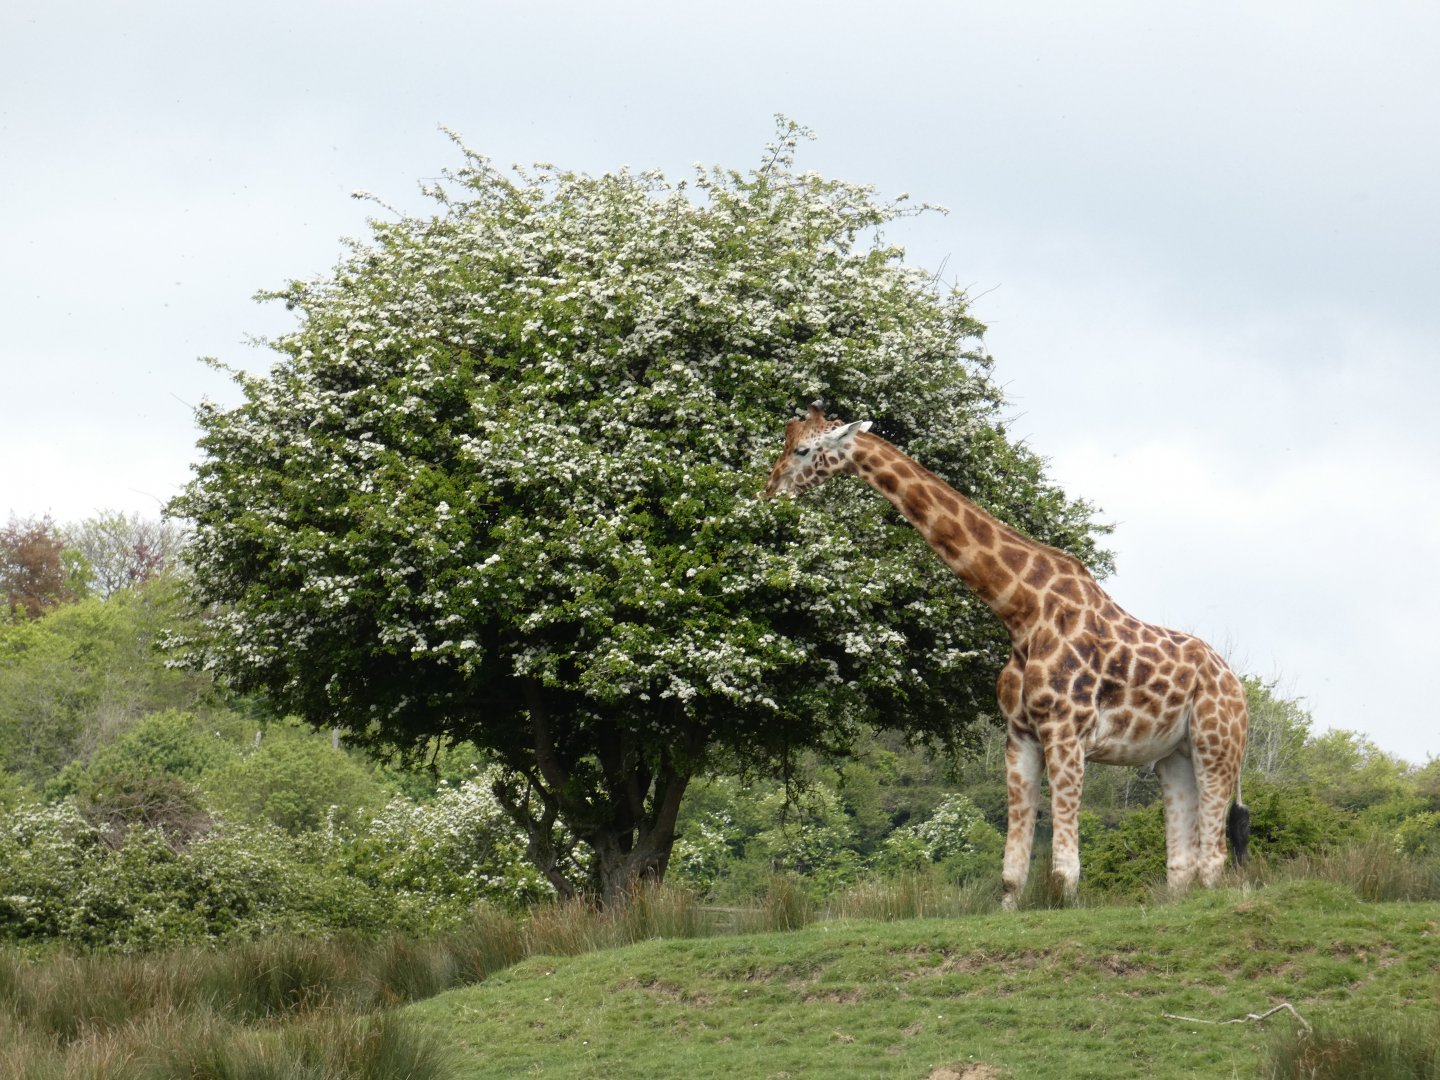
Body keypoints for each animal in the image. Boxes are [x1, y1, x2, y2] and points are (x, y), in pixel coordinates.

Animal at [762, 402, 1249, 909]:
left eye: (803, 450)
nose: (769, 491)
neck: (1022, 613)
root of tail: (1236, 684)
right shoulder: (1019, 735)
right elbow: (1012, 870)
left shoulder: (1066, 732)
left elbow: (1063, 868)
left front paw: (1063, 908)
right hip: (1174, 755)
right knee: (1183, 863)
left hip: (1216, 743)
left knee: (1215, 855)